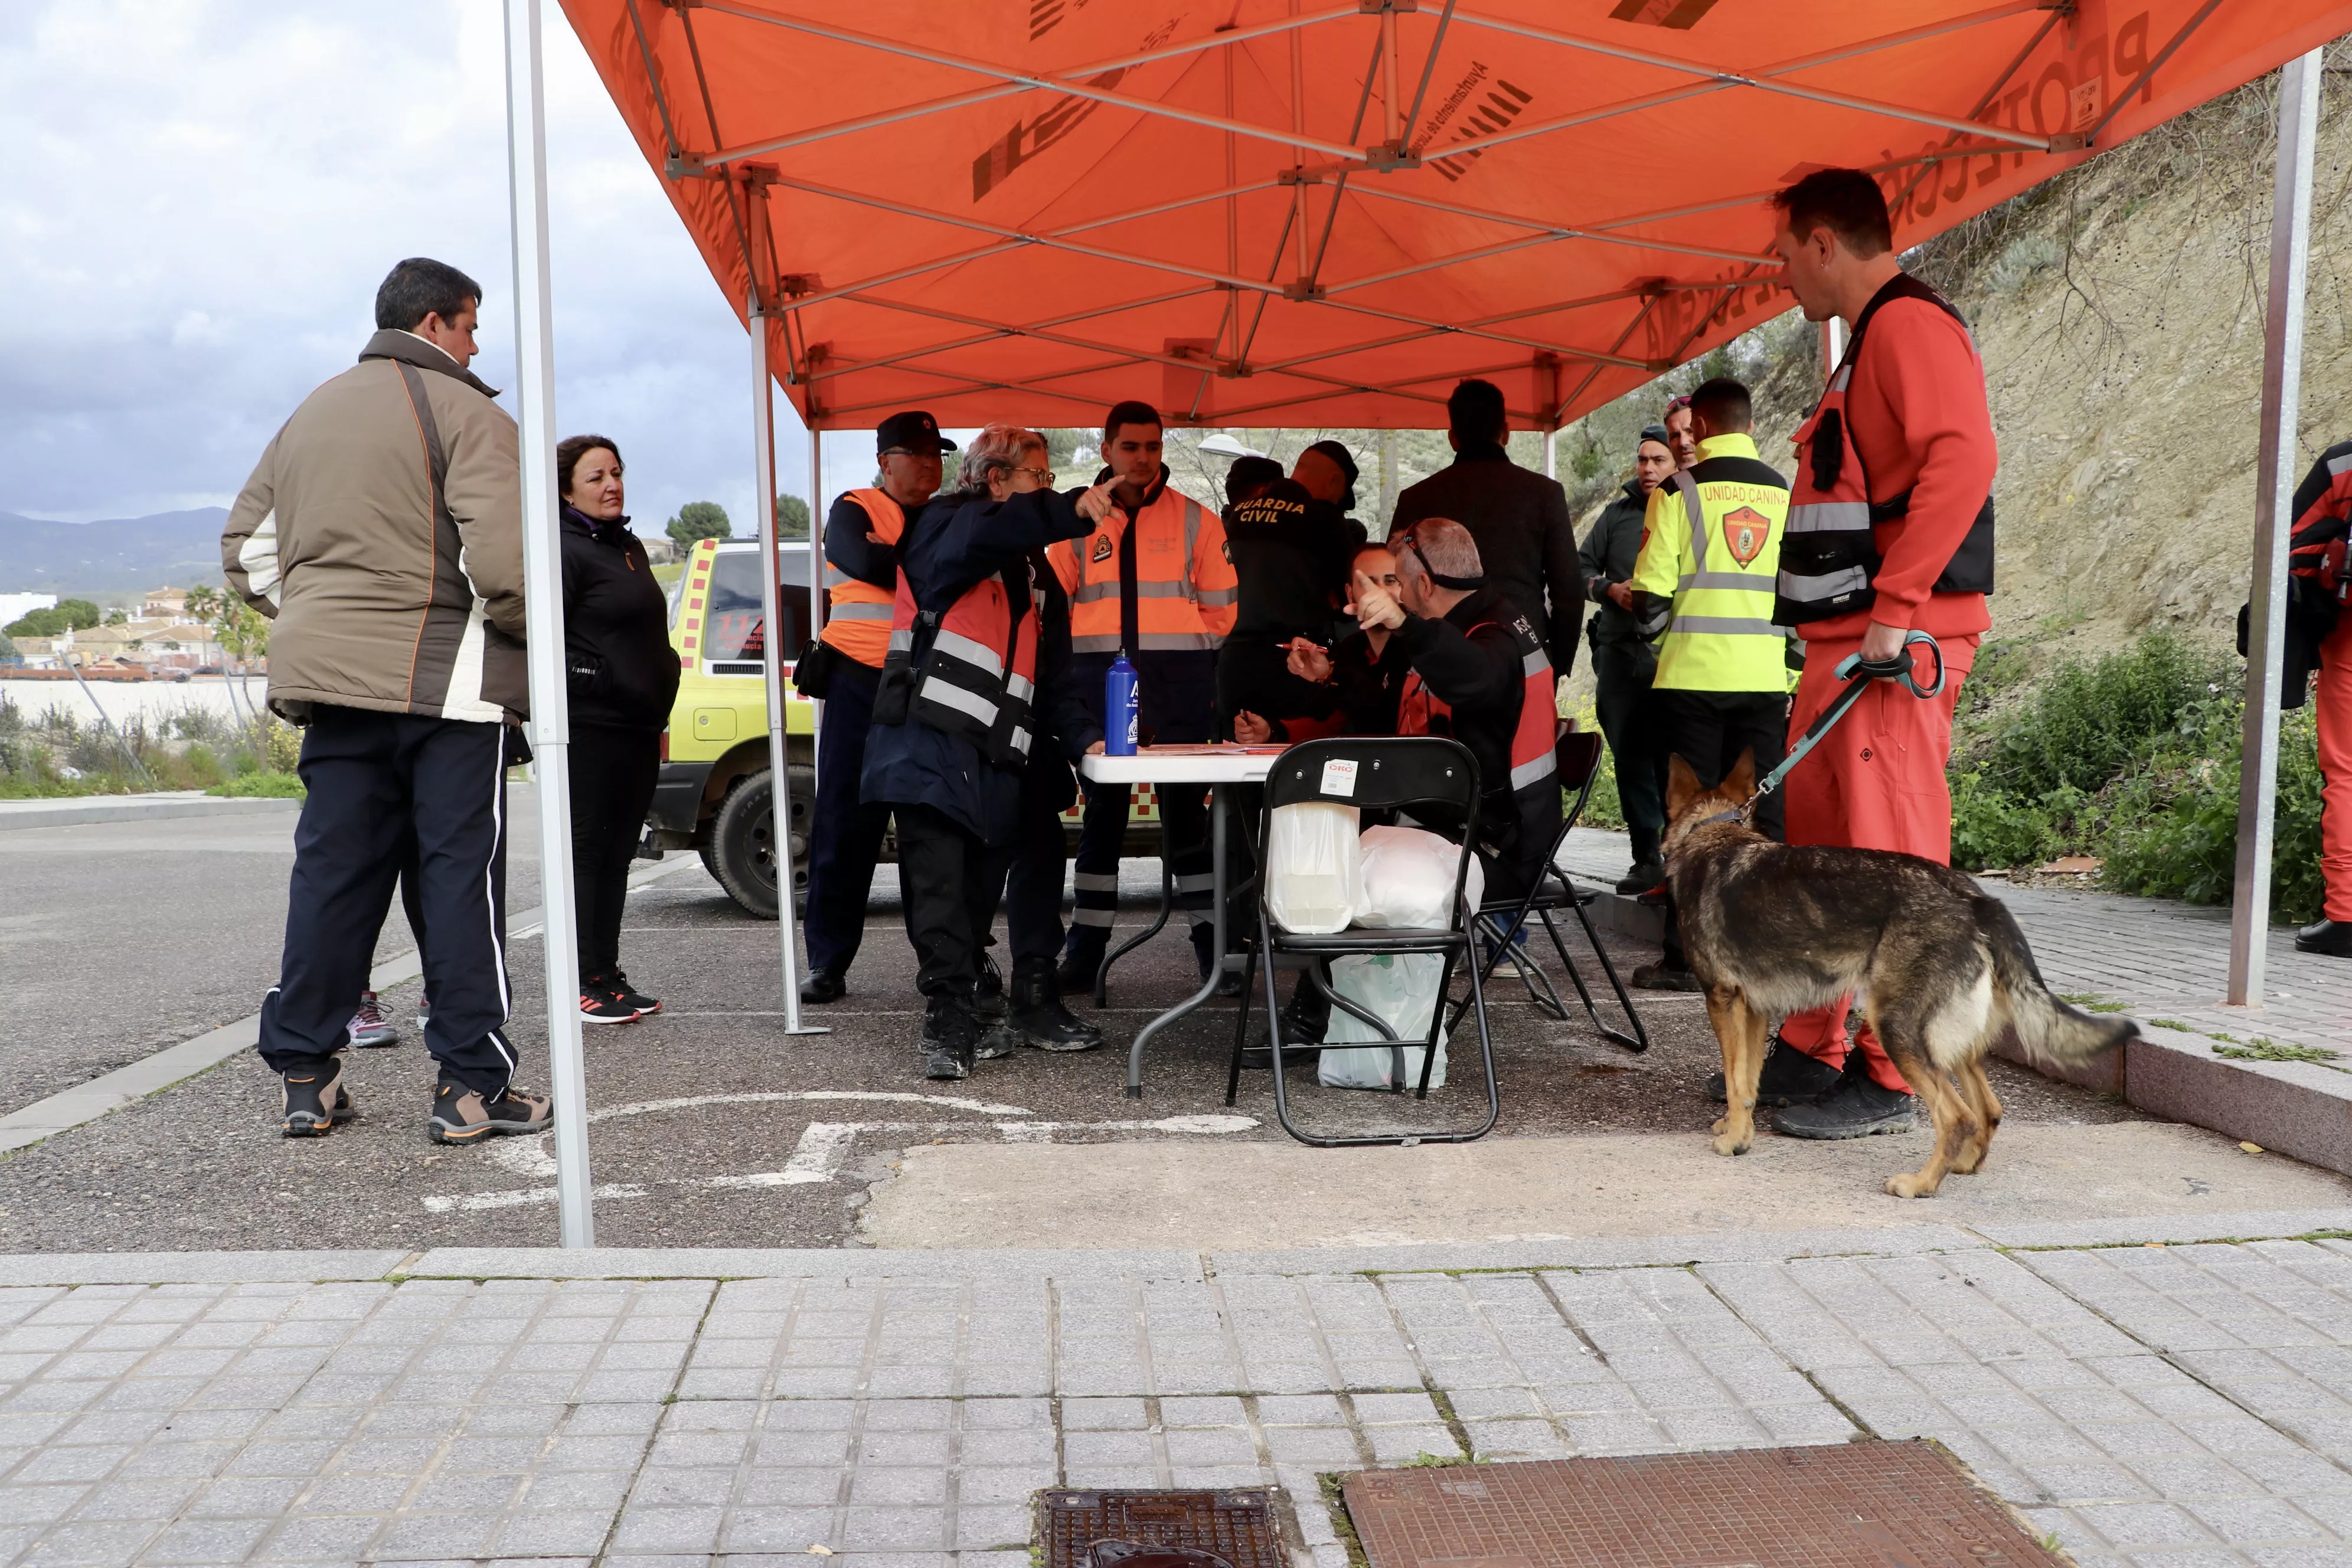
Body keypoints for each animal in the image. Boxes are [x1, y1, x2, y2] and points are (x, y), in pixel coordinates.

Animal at [1665, 752, 2145, 1194]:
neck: (1711, 831)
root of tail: (1975, 898)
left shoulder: (1723, 1001)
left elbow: (1734, 1080)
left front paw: (1733, 1142)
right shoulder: (1753, 1010)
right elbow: (1746, 1081)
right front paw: (1736, 1128)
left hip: (1895, 1029)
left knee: (1958, 1116)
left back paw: (1921, 1184)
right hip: (1951, 1043)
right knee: (1989, 1111)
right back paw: (1963, 1165)